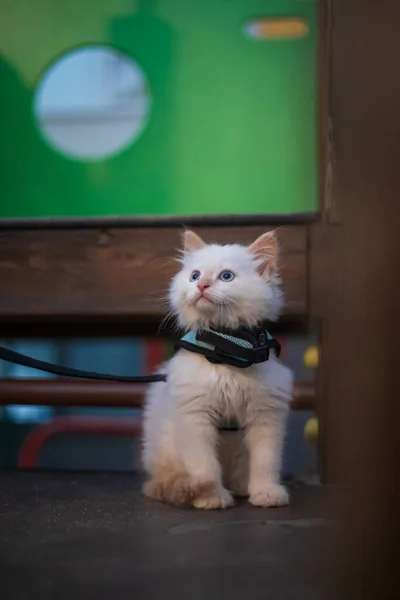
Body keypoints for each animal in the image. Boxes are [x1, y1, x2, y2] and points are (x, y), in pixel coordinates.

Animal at [141, 230, 294, 510]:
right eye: (194, 275)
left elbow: (265, 462)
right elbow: (204, 465)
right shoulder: (195, 415)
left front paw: (266, 493)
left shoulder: (266, 415)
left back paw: (242, 487)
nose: (201, 286)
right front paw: (210, 496)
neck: (228, 349)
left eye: (226, 276)